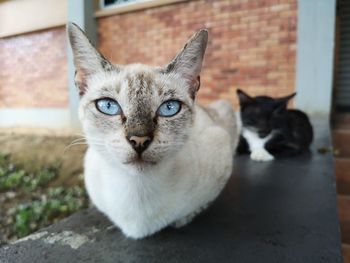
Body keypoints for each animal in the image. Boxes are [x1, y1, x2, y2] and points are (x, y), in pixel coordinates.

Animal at [67, 23, 239, 239]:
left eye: (169, 108)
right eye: (108, 106)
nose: (139, 140)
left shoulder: (221, 142)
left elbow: (195, 209)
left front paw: (182, 220)